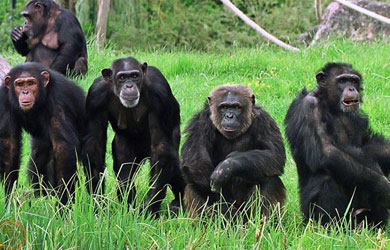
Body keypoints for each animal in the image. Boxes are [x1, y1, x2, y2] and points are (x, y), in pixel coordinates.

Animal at [0, 62, 86, 203]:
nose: (25, 91)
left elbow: (63, 147)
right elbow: (9, 145)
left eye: (31, 83)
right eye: (19, 84)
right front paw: (8, 198)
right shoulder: (3, 99)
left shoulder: (58, 98)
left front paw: (63, 201)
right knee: (38, 157)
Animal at [82, 56, 184, 215]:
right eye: (122, 77)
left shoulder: (160, 92)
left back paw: (181, 203)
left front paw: (149, 208)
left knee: (173, 164)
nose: (129, 86)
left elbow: (161, 148)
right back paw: (128, 208)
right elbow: (94, 144)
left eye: (135, 76)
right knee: (124, 171)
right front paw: (98, 202)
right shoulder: (95, 96)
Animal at [181, 84, 286, 219]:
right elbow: (196, 161)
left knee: (270, 180)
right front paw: (223, 208)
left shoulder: (265, 121)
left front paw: (227, 166)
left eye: (236, 107)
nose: (229, 116)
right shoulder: (200, 123)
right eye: (224, 107)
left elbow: (274, 155)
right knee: (193, 186)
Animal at [284, 62, 390, 227]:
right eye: (342, 80)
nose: (351, 88)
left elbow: (368, 145)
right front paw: (384, 186)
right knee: (327, 178)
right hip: (309, 215)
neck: (330, 104)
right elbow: (326, 151)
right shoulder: (308, 107)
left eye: (353, 81)